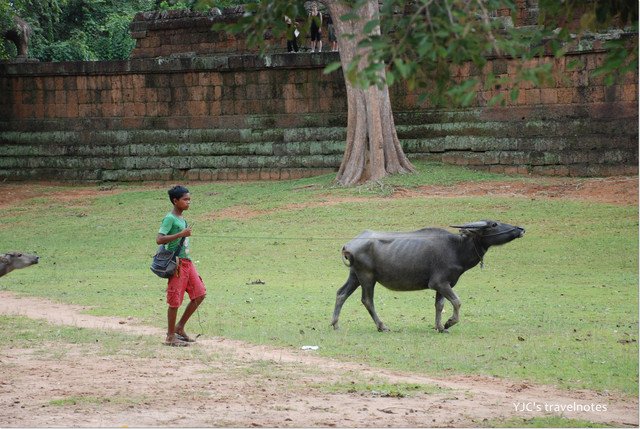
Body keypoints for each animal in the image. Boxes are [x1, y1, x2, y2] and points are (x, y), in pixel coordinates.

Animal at [330, 219, 524, 332]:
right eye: (494, 224)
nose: (520, 229)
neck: (457, 248)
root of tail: (349, 245)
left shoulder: (444, 285)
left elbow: (439, 305)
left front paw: (439, 327)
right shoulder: (439, 283)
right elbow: (457, 301)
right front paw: (449, 322)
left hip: (354, 276)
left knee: (341, 293)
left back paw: (335, 324)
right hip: (367, 277)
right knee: (367, 300)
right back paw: (382, 326)